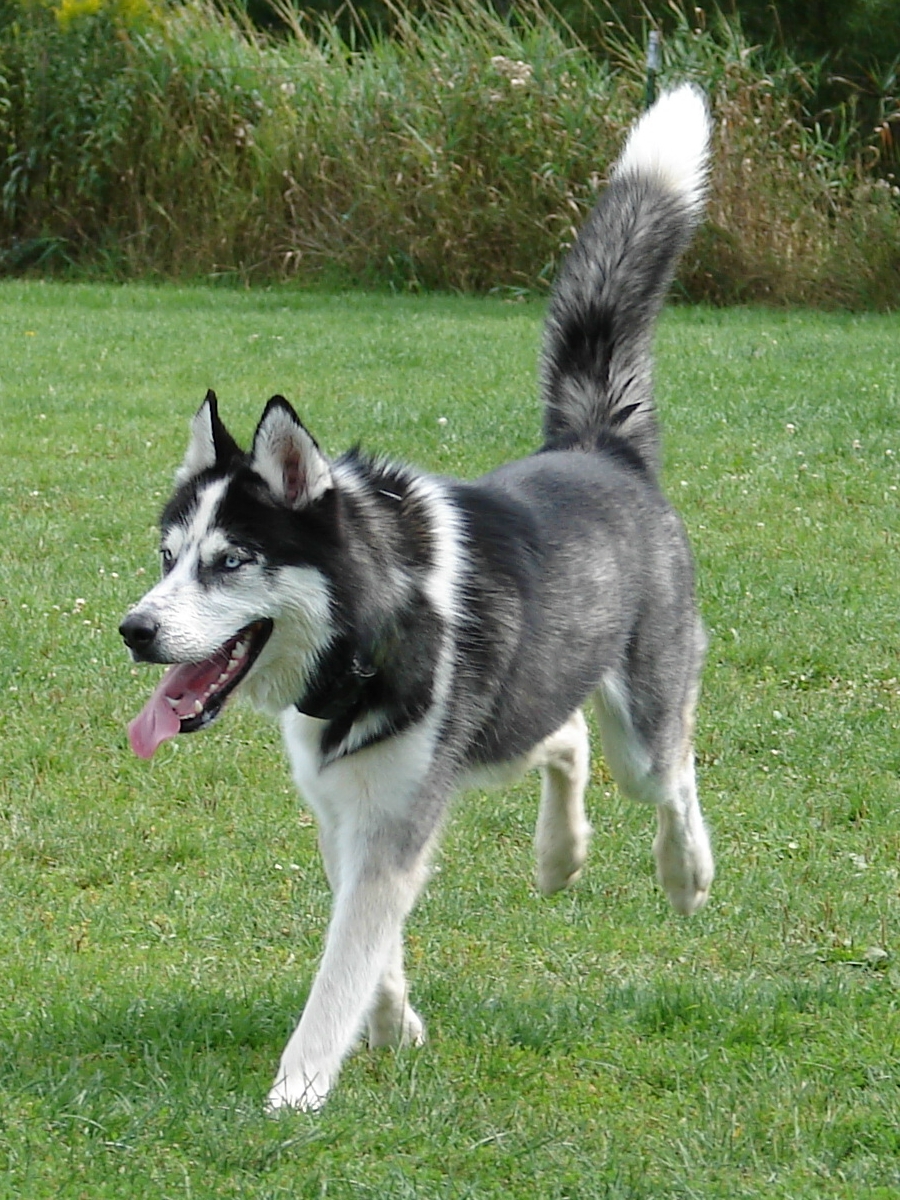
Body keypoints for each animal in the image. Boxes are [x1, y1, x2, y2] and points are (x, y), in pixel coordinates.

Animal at [120, 87, 715, 1113]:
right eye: (167, 556)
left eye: (230, 561)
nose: (134, 630)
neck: (369, 634)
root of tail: (598, 446)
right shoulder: (345, 813)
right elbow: (369, 943)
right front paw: (394, 1025)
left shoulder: (392, 821)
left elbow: (341, 966)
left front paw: (298, 1090)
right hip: (518, 716)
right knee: (564, 737)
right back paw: (560, 854)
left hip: (644, 723)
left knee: (671, 777)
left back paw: (686, 876)